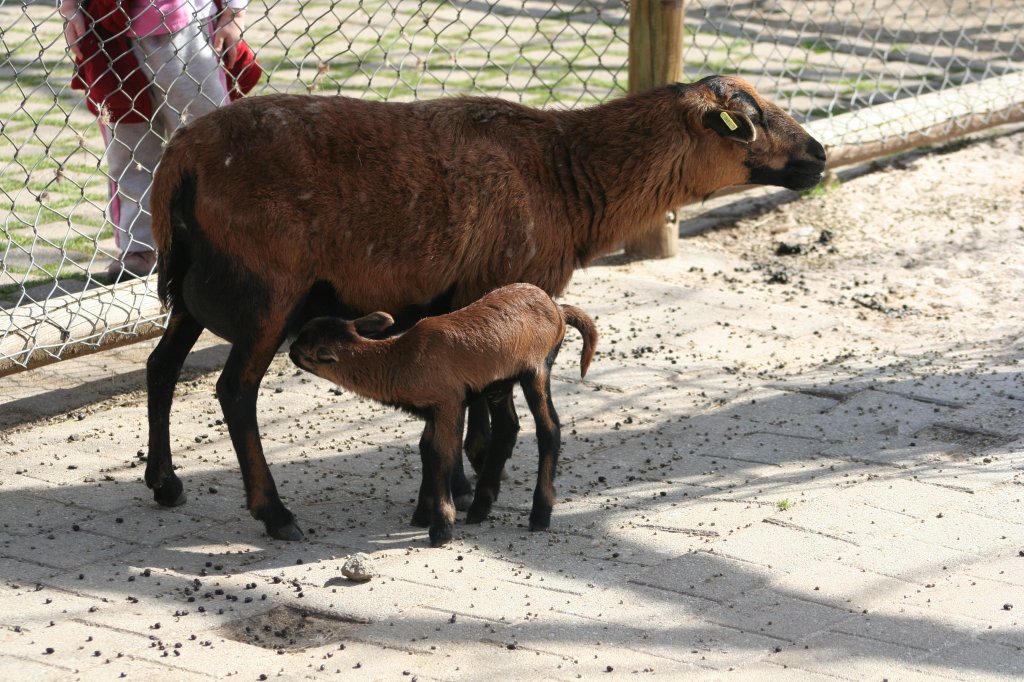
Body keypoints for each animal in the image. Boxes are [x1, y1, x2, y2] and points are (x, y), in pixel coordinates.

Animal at [144, 75, 827, 540]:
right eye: (750, 118)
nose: (820, 156)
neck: (567, 176)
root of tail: (177, 158)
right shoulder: (500, 284)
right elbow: (484, 415)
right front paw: (471, 492)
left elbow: (466, 406)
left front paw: (458, 487)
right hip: (268, 291)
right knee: (235, 390)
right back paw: (276, 513)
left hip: (194, 289)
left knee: (161, 367)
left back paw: (165, 483)